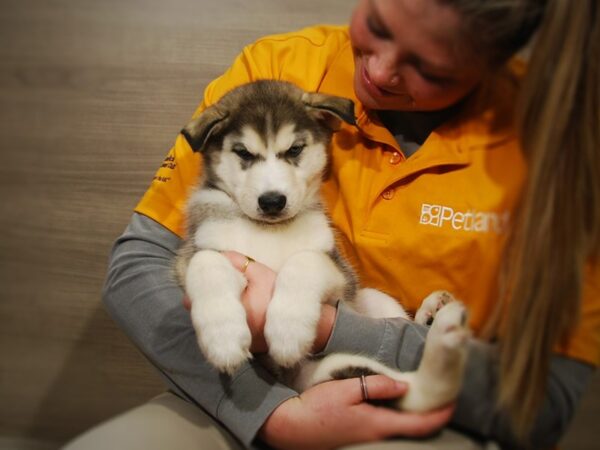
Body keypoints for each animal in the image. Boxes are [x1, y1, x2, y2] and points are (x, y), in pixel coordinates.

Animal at [173, 80, 468, 412]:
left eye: (294, 149)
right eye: (243, 153)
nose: (272, 201)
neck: (270, 230)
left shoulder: (338, 270)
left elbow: (305, 262)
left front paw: (288, 329)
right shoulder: (191, 254)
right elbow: (207, 263)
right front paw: (222, 337)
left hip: (371, 301)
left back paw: (437, 315)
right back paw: (444, 326)